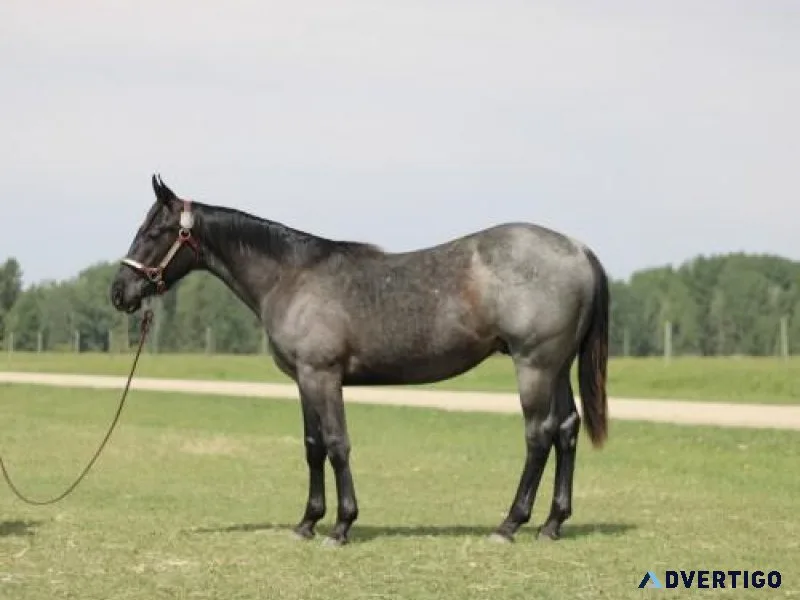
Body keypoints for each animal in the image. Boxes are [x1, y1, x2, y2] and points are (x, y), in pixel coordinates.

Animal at [110, 174, 610, 546]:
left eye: (154, 232)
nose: (120, 292)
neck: (292, 275)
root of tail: (578, 249)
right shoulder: (304, 380)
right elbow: (313, 446)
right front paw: (307, 523)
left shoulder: (323, 376)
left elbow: (337, 444)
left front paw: (342, 525)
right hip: (556, 367)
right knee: (566, 429)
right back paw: (552, 523)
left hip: (534, 366)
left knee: (539, 435)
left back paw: (510, 524)